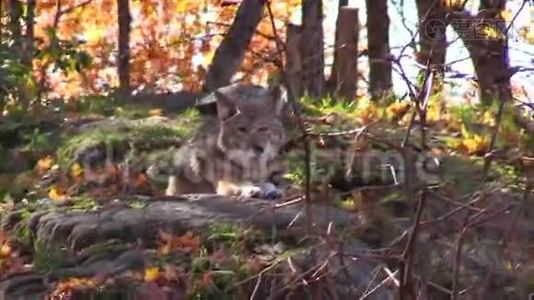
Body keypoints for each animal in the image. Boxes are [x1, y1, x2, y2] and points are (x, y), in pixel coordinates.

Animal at [147, 84, 288, 200]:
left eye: (263, 129)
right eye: (242, 129)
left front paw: (271, 190)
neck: (249, 167)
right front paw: (252, 189)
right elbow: (241, 183)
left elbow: (268, 183)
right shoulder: (223, 184)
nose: (259, 148)